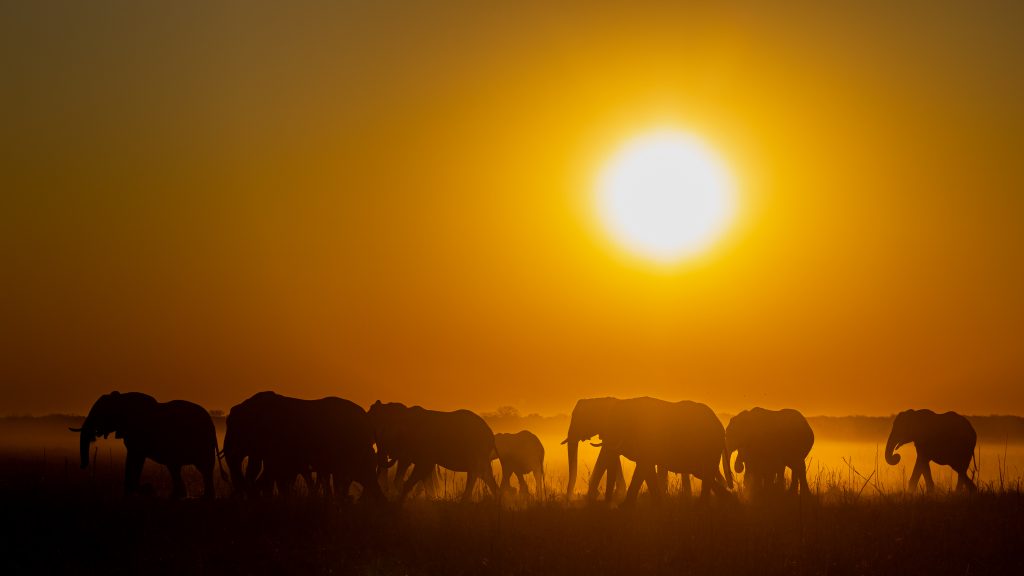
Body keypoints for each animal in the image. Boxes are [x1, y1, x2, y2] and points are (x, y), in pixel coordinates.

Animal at [70, 391, 220, 499]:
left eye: (100, 413)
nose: (83, 466)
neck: (122, 398)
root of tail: (212, 425)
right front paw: (134, 493)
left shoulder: (138, 435)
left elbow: (135, 459)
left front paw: (146, 490)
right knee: (175, 467)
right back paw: (179, 496)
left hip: (202, 443)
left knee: (203, 467)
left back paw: (204, 497)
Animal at [369, 401, 499, 502]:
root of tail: (491, 434)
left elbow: (423, 468)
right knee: (484, 475)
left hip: (476, 449)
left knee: (475, 473)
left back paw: (465, 501)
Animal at [597, 397, 731, 505]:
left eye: (617, 424)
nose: (608, 504)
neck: (630, 403)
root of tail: (721, 427)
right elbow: (647, 468)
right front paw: (658, 504)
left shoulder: (648, 437)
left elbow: (643, 467)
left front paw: (624, 507)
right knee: (702, 472)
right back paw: (725, 499)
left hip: (710, 446)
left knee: (705, 472)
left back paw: (703, 505)